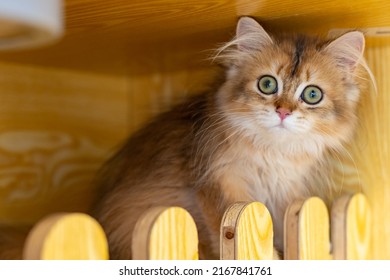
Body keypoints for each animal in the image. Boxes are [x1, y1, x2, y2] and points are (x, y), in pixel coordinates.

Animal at [90, 16, 372, 260]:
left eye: (312, 94)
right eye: (267, 84)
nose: (283, 111)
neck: (273, 151)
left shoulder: (285, 193)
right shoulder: (217, 184)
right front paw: (270, 256)